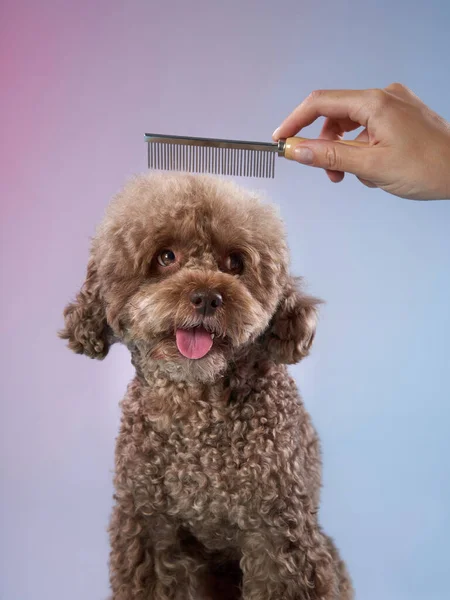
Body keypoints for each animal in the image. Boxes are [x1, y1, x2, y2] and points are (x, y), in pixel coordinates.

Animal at [59, 171, 354, 596]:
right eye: (166, 257)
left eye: (235, 262)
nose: (207, 298)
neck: (195, 410)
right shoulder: (150, 526)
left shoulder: (278, 534)